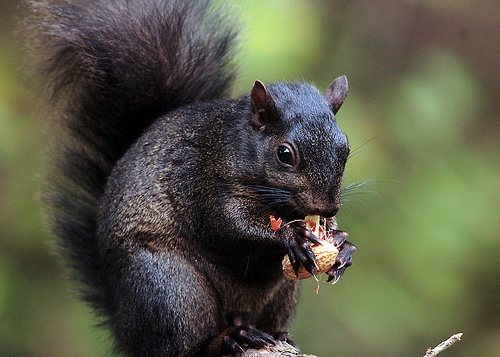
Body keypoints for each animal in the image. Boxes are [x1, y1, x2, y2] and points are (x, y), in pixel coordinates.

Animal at [28, 0, 356, 354]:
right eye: (284, 154)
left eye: (346, 147)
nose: (328, 207)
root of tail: (123, 325)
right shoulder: (201, 181)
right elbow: (227, 222)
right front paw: (291, 235)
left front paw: (342, 244)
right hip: (170, 290)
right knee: (183, 346)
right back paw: (229, 339)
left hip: (280, 294)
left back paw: (272, 334)